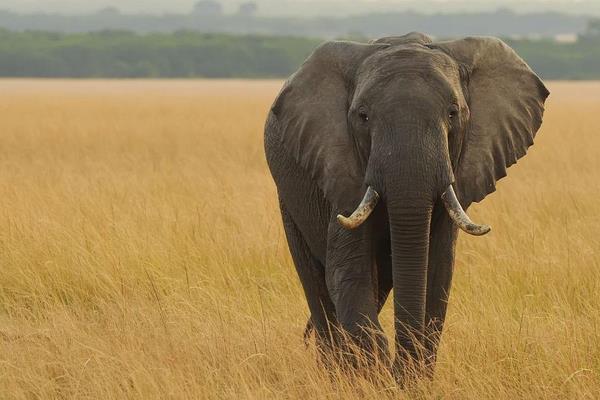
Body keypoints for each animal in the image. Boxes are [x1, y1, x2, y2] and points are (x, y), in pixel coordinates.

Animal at [262, 32, 548, 378]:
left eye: (453, 113)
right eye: (363, 116)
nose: (399, 371)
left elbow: (436, 275)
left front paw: (408, 379)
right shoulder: (341, 168)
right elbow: (349, 273)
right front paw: (376, 376)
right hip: (288, 196)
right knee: (317, 286)